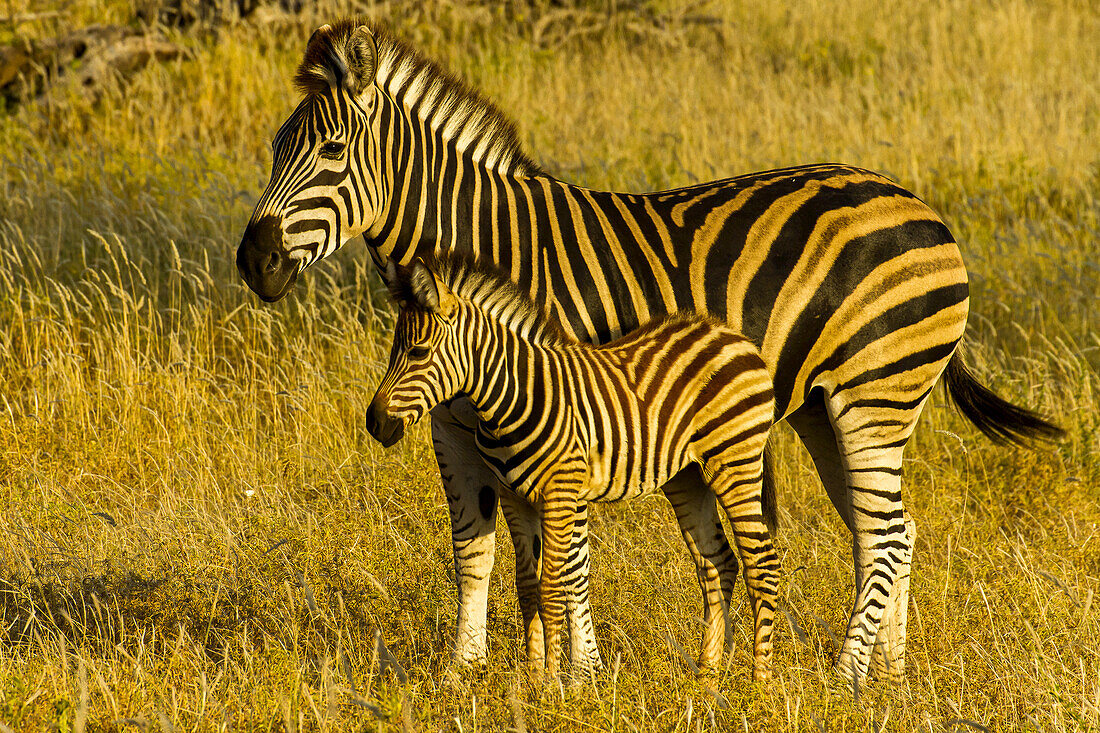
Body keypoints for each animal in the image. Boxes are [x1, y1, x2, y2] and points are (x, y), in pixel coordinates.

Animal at [365, 256, 778, 677]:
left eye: (418, 352)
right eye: (395, 350)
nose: (374, 423)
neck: (513, 395)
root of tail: (730, 334)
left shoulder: (559, 493)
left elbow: (552, 588)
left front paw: (551, 680)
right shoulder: (515, 496)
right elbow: (528, 586)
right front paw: (532, 675)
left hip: (735, 461)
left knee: (761, 563)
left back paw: (760, 680)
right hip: (688, 477)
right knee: (717, 562)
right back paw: (707, 673)